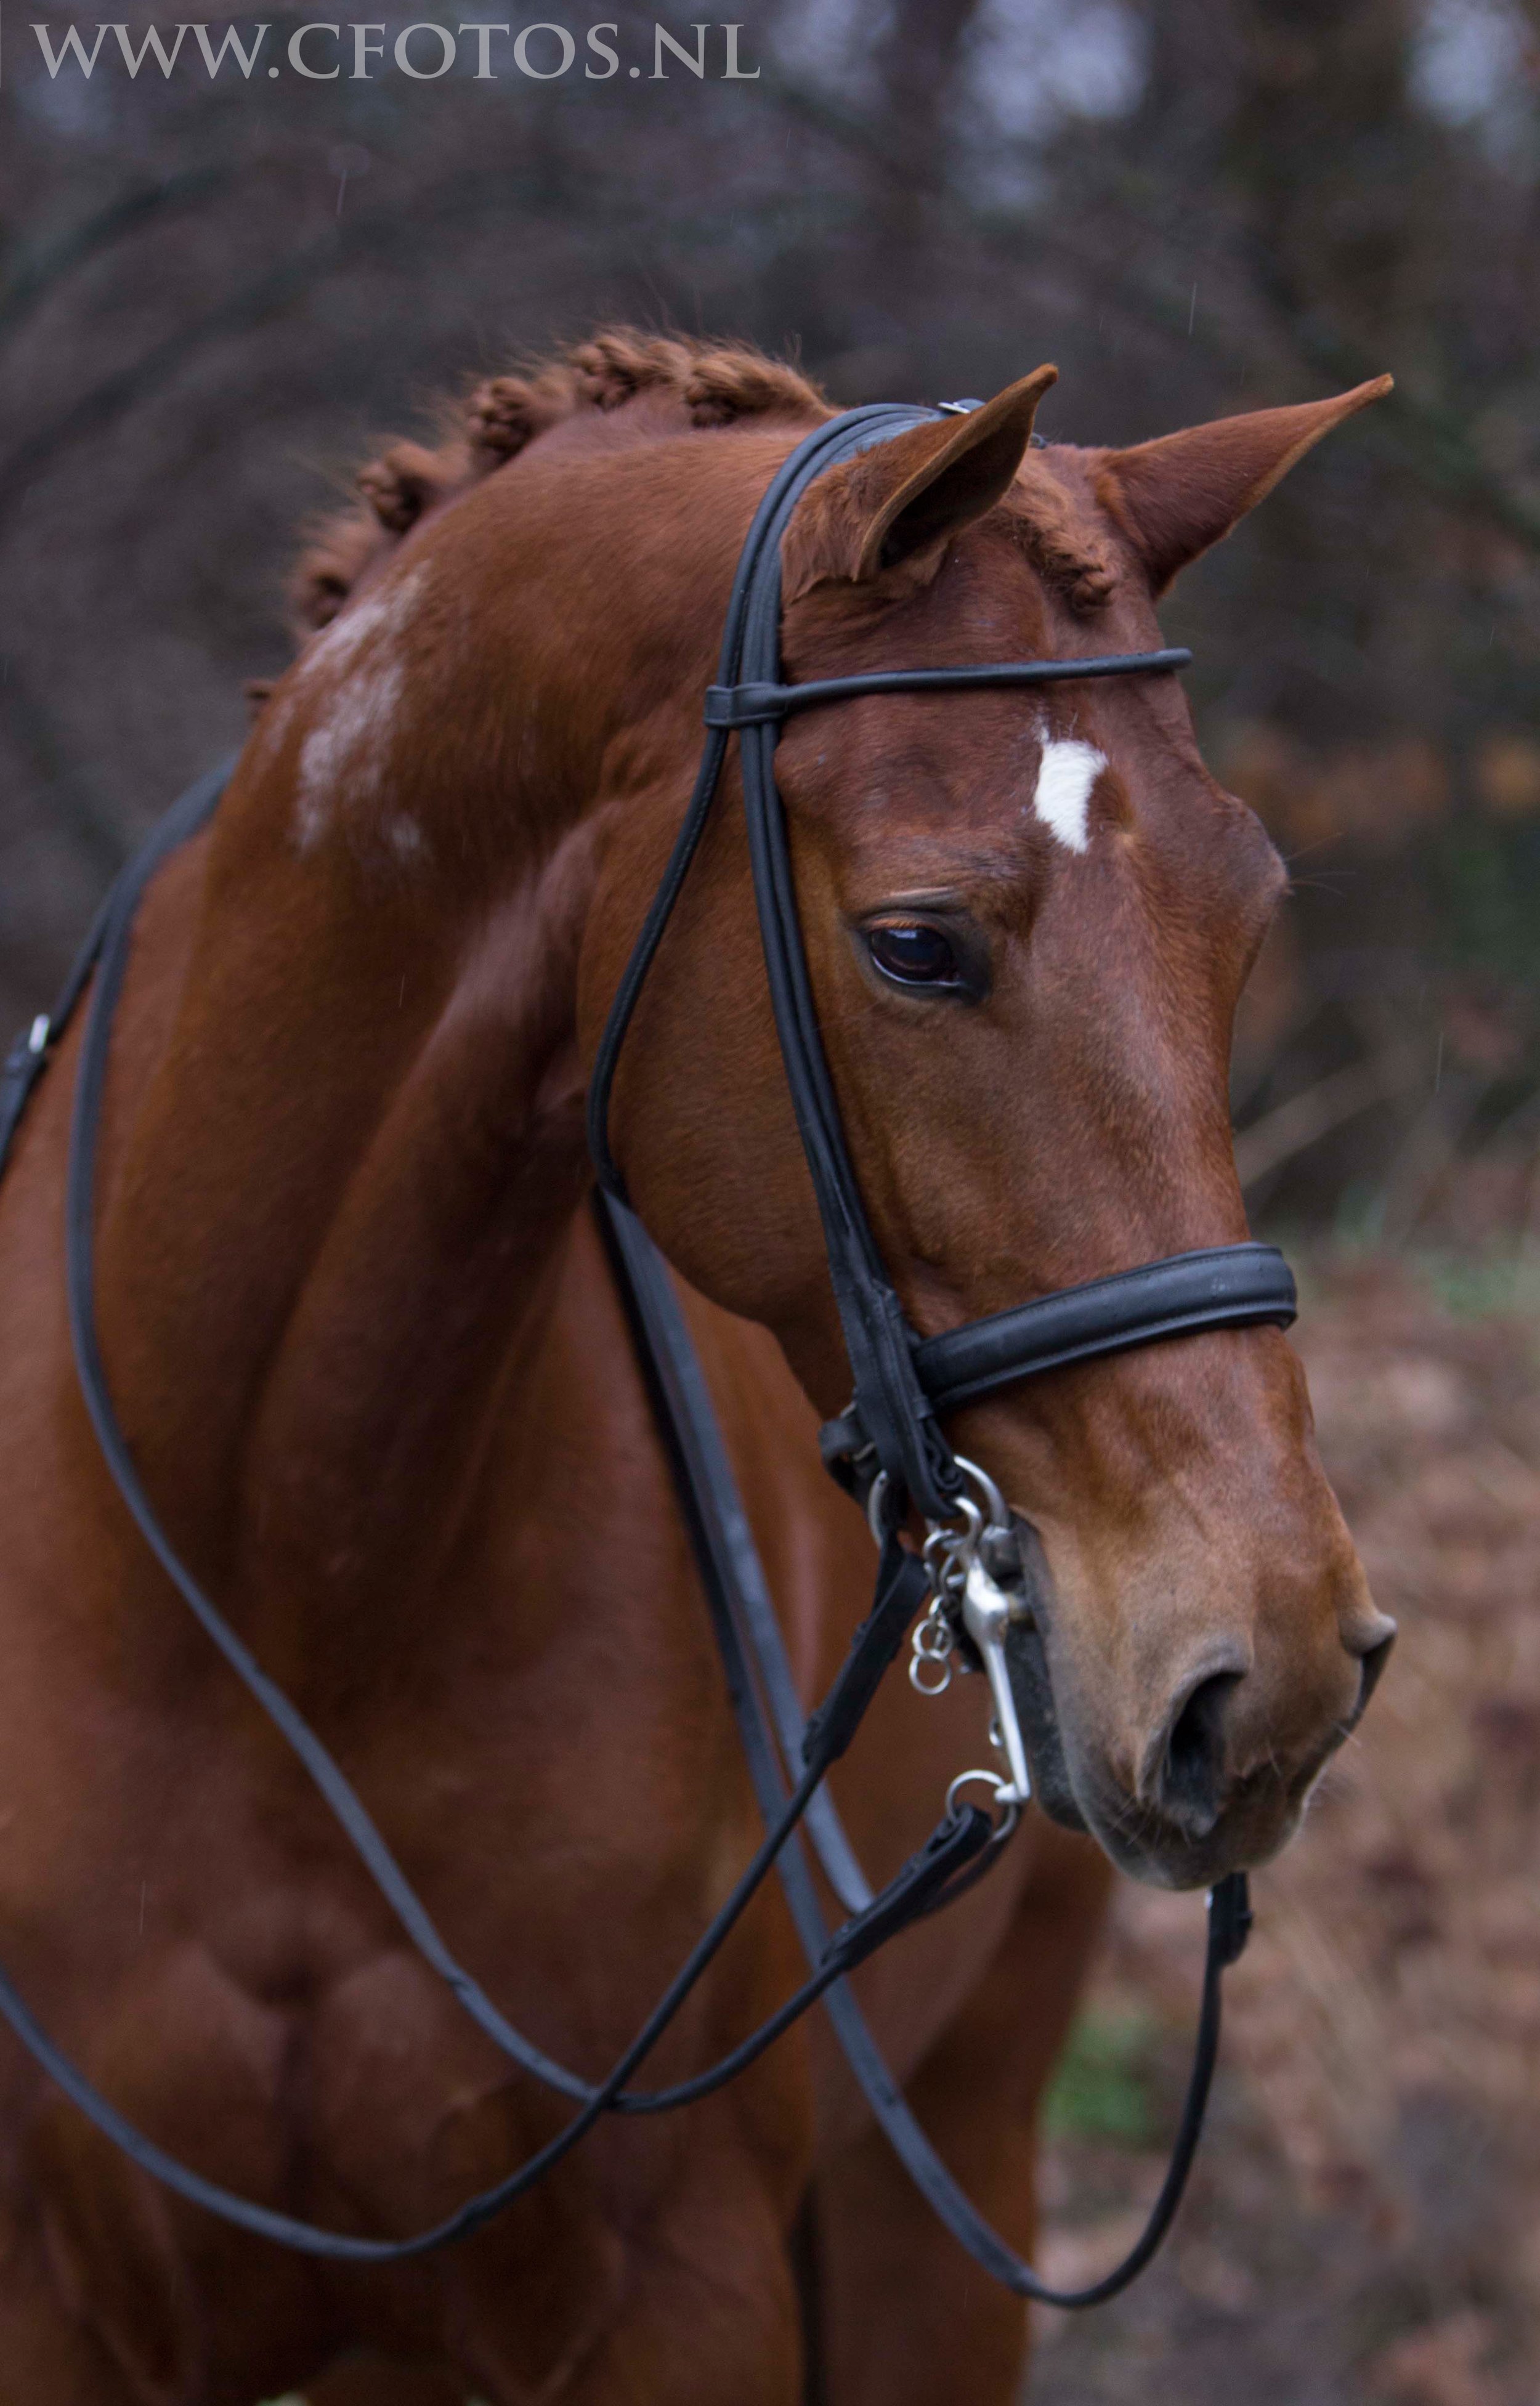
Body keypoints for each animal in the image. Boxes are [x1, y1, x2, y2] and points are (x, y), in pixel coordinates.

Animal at [0, 329, 1395, 2405]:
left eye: (1242, 927)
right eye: (915, 944)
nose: (1276, 1666)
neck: (267, 1565)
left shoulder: (678, 2296)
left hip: (938, 2194)